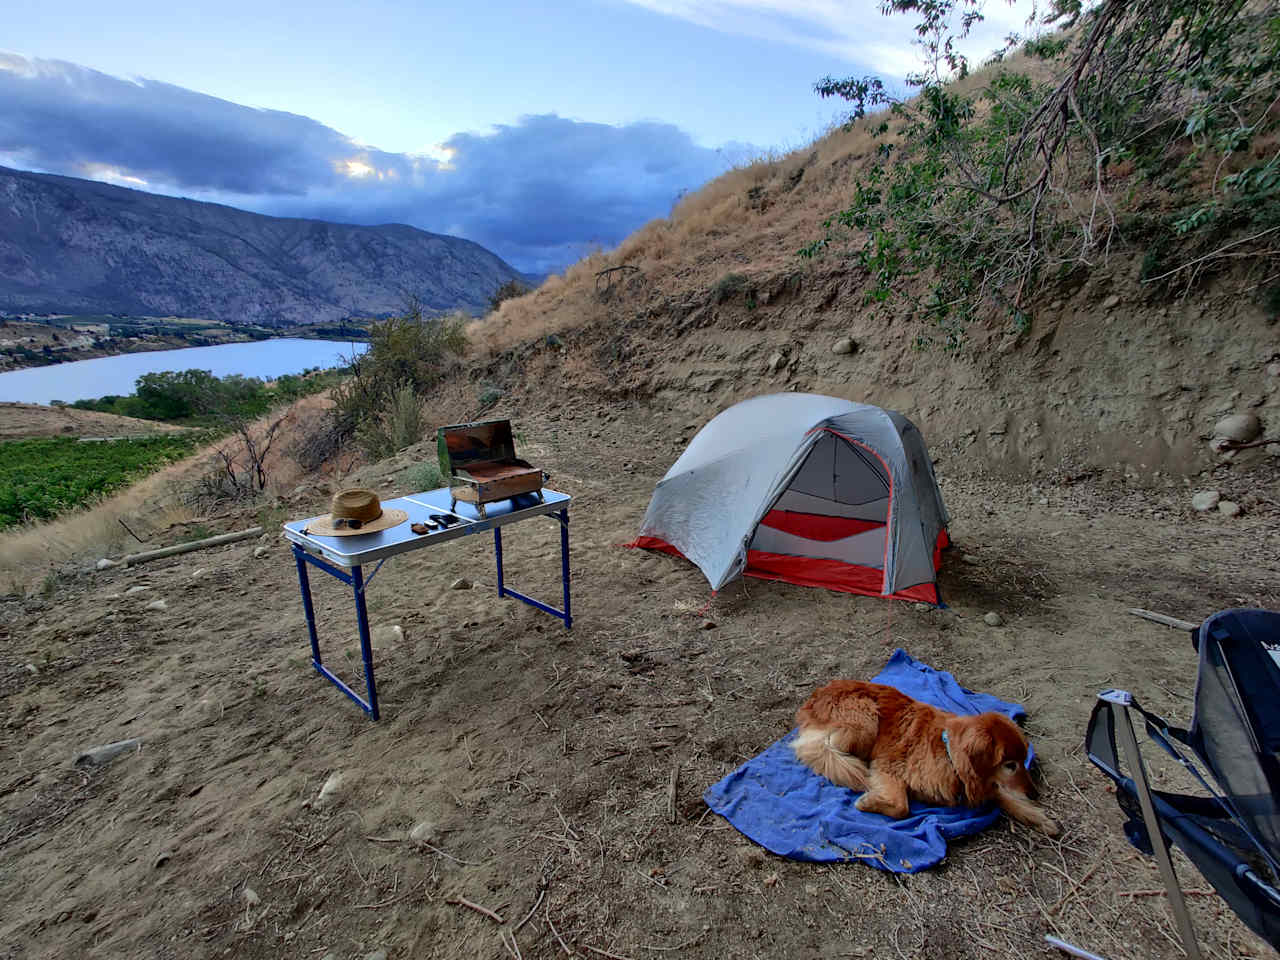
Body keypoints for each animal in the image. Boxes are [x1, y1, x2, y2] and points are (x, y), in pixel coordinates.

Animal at [788, 680, 1059, 839]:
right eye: (1009, 765)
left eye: (1022, 761)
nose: (1035, 793)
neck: (947, 752)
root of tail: (815, 694)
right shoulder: (887, 767)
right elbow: (902, 806)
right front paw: (867, 802)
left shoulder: (976, 784)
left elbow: (1003, 796)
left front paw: (1037, 817)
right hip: (865, 720)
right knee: (818, 748)